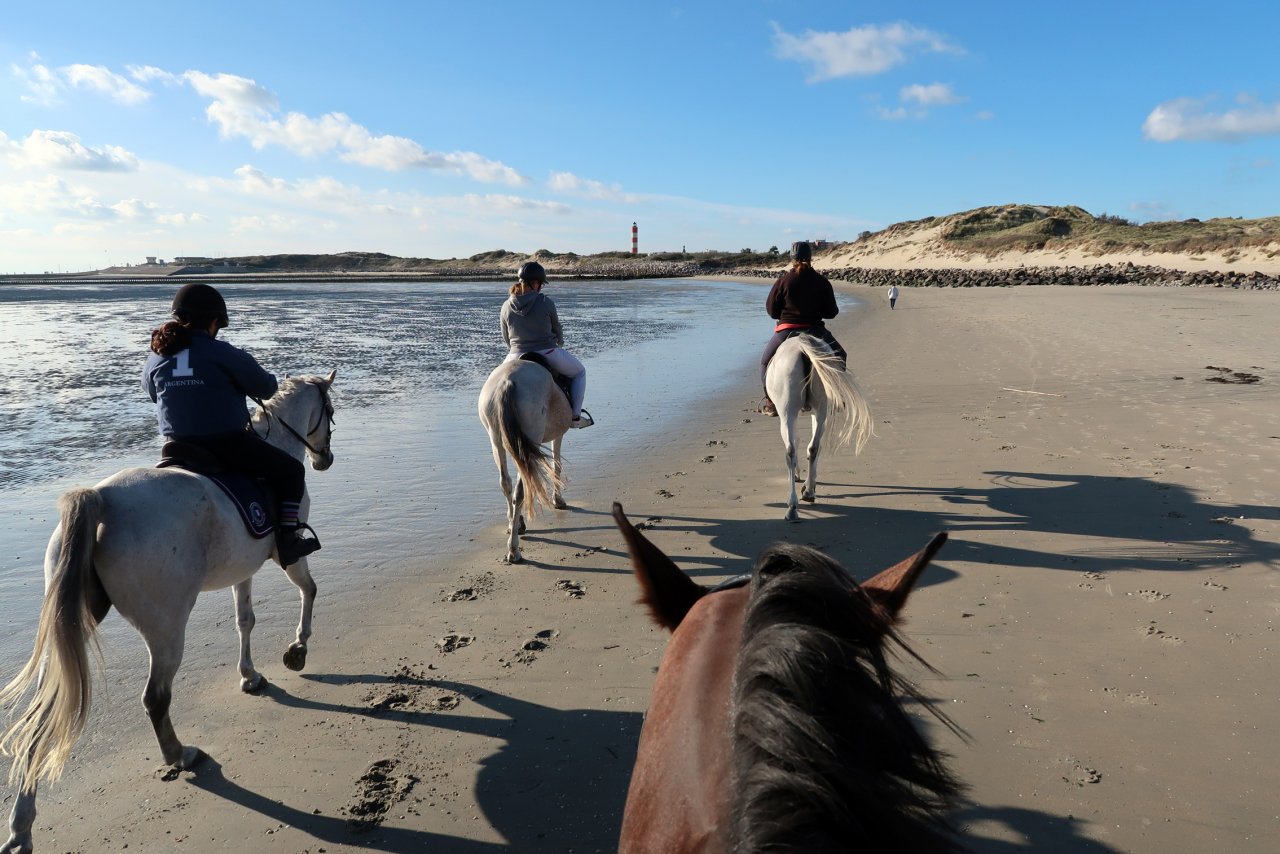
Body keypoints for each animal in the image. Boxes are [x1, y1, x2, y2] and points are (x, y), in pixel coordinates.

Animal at [0, 371, 337, 850]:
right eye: (330, 412)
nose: (324, 458)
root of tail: (101, 498)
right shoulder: (287, 557)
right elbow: (309, 591)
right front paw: (298, 649)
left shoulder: (243, 569)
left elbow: (245, 620)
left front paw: (249, 675)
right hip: (166, 629)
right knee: (155, 698)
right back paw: (180, 755)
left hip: (74, 624)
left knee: (42, 716)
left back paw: (21, 826)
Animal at [478, 358, 573, 563]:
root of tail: (507, 382)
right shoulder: (558, 434)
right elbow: (556, 465)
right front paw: (558, 500)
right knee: (521, 490)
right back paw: (514, 550)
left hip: (497, 439)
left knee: (506, 483)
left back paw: (516, 525)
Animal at [762, 332, 875, 522]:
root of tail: (801, 347)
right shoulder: (817, 412)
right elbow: (813, 446)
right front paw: (809, 483)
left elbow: (799, 441)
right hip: (821, 408)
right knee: (812, 447)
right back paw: (805, 495)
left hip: (788, 411)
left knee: (792, 450)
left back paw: (794, 504)